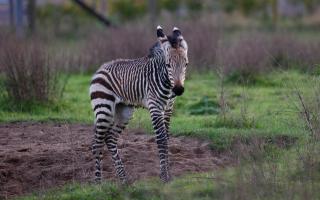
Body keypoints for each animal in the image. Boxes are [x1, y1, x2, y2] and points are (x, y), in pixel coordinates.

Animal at [89, 25, 189, 184]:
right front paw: (164, 177)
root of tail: (101, 68)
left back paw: (124, 179)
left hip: (124, 110)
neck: (167, 83)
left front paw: (168, 175)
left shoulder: (168, 109)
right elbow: (161, 140)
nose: (178, 90)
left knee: (110, 138)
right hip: (104, 109)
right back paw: (98, 183)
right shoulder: (155, 108)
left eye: (186, 64)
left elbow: (167, 138)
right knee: (96, 144)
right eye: (168, 65)